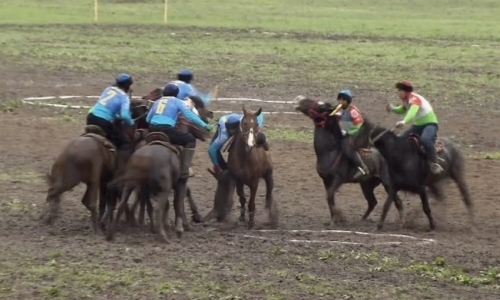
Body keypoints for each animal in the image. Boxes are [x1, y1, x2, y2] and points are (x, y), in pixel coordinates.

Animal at [40, 100, 148, 232]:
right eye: (137, 103)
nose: (147, 107)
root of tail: (73, 152)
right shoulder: (110, 181)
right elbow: (110, 201)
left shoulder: (105, 181)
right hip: (89, 178)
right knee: (89, 202)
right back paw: (96, 227)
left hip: (69, 179)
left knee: (55, 192)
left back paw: (47, 217)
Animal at [292, 97, 406, 226]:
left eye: (321, 106)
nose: (299, 99)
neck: (330, 152)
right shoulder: (326, 180)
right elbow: (330, 199)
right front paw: (333, 219)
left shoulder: (338, 179)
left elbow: (329, 196)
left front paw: (338, 218)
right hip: (366, 184)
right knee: (372, 202)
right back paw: (362, 219)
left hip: (387, 182)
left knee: (397, 201)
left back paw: (402, 221)